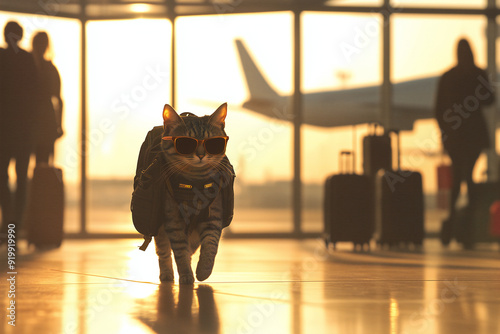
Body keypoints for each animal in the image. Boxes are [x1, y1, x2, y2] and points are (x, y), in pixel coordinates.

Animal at [154, 102, 232, 284]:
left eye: (212, 143)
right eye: (186, 143)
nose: (201, 155)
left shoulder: (213, 216)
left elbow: (210, 245)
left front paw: (203, 270)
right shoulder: (173, 220)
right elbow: (179, 252)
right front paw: (186, 275)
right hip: (160, 230)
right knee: (164, 251)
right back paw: (167, 274)